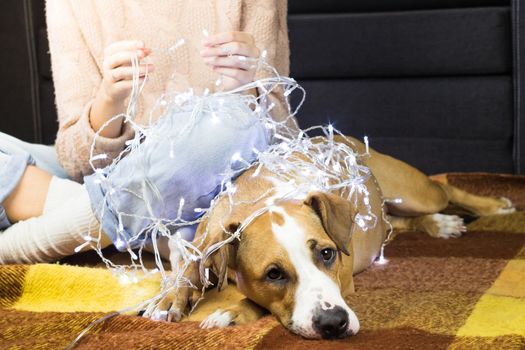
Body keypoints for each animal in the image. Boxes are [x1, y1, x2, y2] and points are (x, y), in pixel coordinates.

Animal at [146, 135, 512, 340]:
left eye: (327, 254)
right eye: (273, 274)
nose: (334, 322)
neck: (262, 201)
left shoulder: (344, 279)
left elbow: (251, 300)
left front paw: (232, 312)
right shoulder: (202, 241)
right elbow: (183, 272)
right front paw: (168, 299)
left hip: (412, 191)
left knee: (445, 188)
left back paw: (493, 206)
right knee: (397, 224)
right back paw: (438, 224)